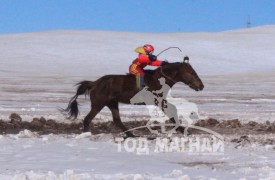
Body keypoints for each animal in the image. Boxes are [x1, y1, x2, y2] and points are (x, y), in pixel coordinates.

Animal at [63, 57, 204, 137]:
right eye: (191, 72)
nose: (201, 86)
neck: (159, 80)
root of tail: (94, 83)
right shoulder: (158, 101)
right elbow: (172, 112)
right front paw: (184, 130)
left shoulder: (161, 101)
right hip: (99, 104)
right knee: (87, 119)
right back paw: (87, 134)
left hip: (112, 103)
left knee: (117, 120)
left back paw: (131, 134)